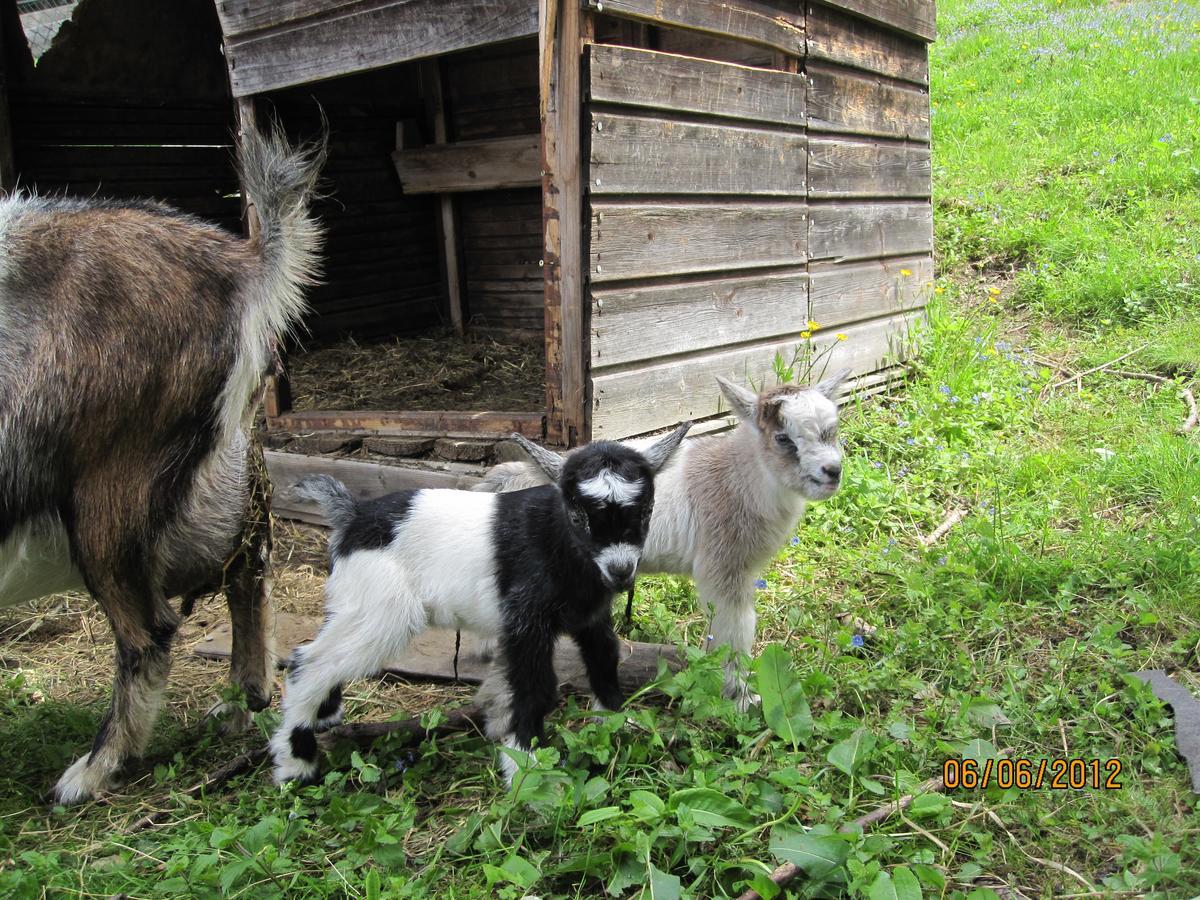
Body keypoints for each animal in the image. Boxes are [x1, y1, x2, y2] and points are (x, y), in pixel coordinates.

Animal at [0, 121, 324, 801]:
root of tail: (244, 263)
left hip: (110, 486)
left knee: (150, 632)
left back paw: (89, 772)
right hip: (210, 476)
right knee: (244, 561)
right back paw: (240, 703)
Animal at [268, 427, 691, 787]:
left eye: (646, 510)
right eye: (578, 516)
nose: (621, 572)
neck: (558, 542)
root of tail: (353, 516)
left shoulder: (590, 616)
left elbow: (604, 657)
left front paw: (619, 720)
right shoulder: (525, 622)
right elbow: (533, 684)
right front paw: (527, 764)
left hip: (354, 601)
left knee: (315, 650)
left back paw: (325, 715)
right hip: (382, 611)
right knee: (311, 664)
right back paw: (296, 766)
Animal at [472, 369, 849, 710]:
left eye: (831, 431)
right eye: (783, 438)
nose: (832, 472)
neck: (735, 479)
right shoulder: (723, 567)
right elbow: (735, 631)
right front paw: (742, 697)